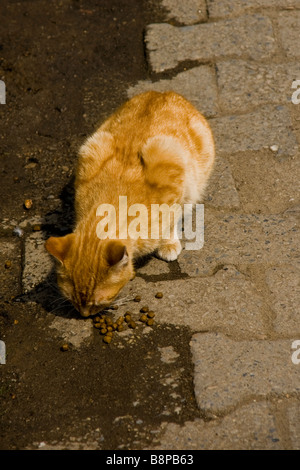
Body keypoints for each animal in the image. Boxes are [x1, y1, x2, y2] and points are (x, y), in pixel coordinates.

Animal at [45, 90, 216, 318]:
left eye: (97, 302)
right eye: (72, 299)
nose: (84, 315)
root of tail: (163, 92)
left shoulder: (173, 173)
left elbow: (171, 220)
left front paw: (168, 243)